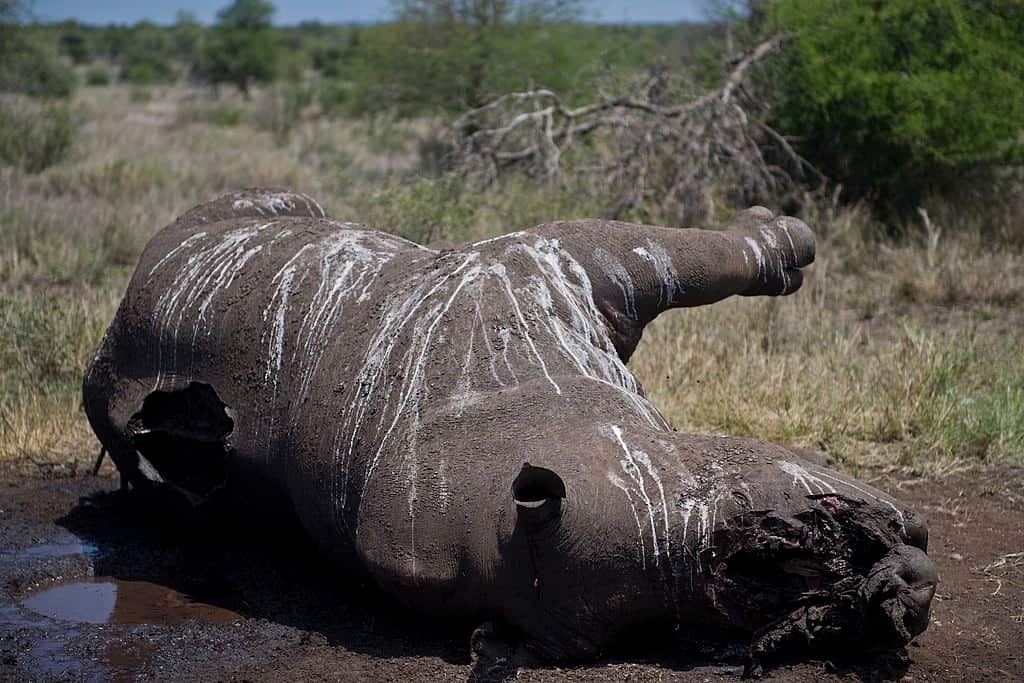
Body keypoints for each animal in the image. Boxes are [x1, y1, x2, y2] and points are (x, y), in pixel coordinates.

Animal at [83, 189, 936, 673]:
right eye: (775, 553)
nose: (900, 586)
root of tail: (102, 353)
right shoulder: (549, 257)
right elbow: (699, 249)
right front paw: (785, 233)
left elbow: (700, 256)